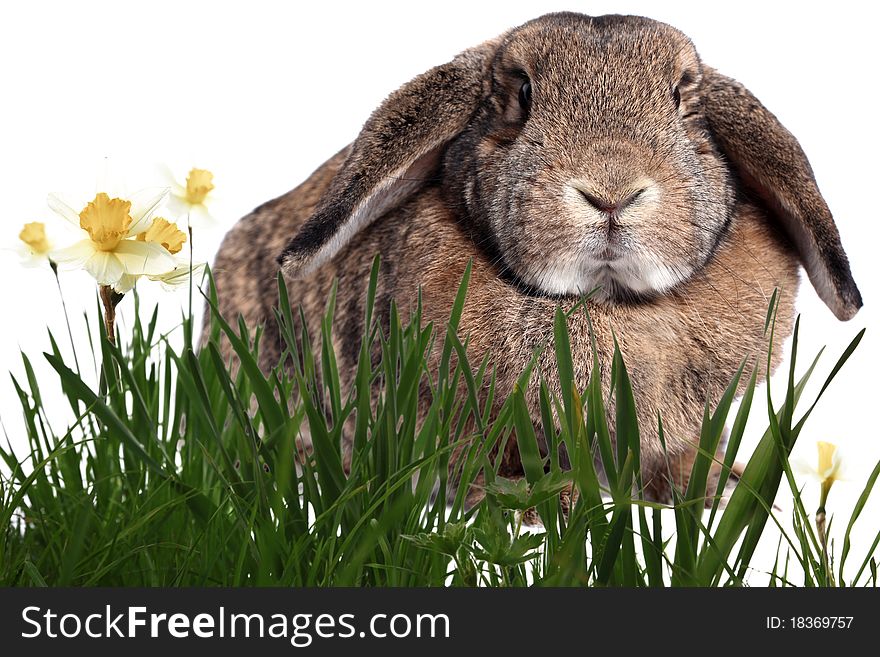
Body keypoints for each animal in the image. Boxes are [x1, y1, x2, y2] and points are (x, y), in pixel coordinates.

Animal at [206, 14, 860, 508]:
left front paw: (718, 489)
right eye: (522, 94)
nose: (611, 192)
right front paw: (553, 501)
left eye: (681, 96)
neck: (607, 304)